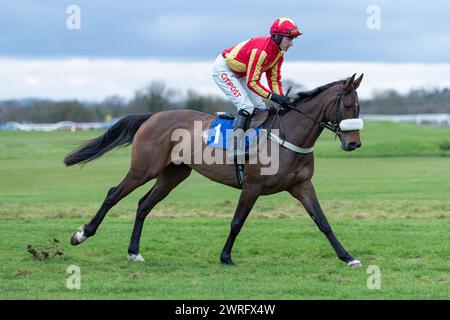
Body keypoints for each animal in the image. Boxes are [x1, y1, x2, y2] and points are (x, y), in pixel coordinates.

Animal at [64, 74, 366, 266]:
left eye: (359, 107)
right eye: (347, 105)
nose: (353, 143)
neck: (288, 134)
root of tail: (153, 116)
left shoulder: (302, 185)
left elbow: (323, 222)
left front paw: (348, 257)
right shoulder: (253, 185)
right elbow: (237, 222)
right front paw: (226, 257)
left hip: (173, 174)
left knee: (143, 205)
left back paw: (134, 252)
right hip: (143, 168)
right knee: (113, 194)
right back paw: (82, 234)